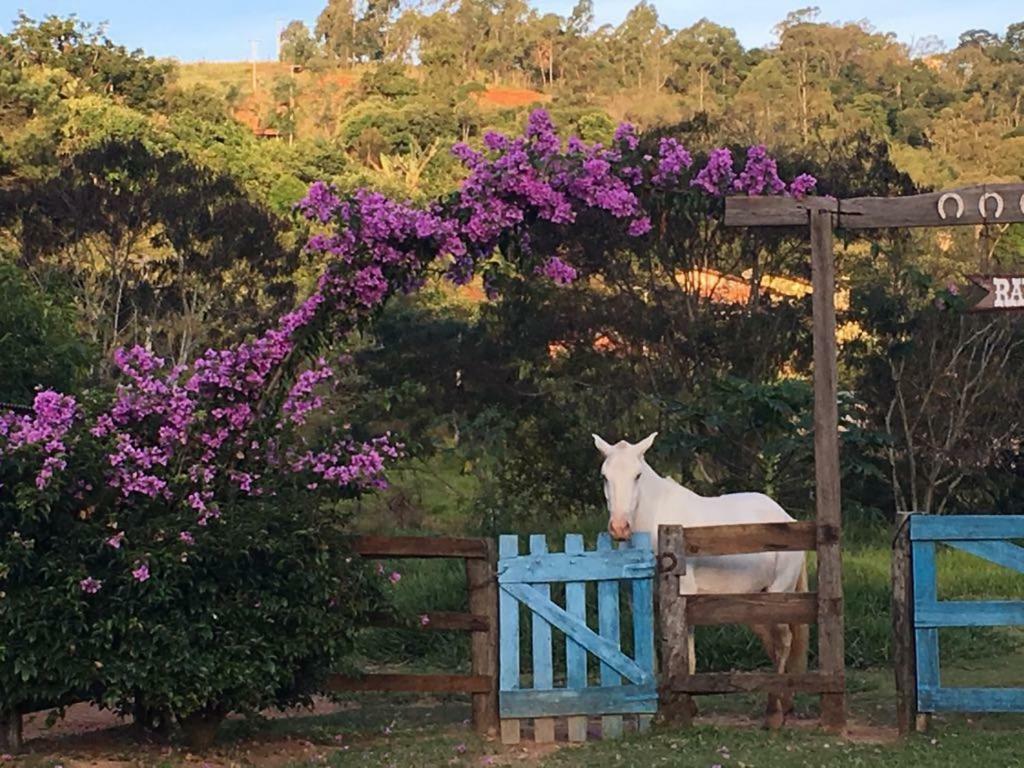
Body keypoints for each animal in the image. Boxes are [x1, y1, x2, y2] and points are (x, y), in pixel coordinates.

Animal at [593, 434, 806, 729]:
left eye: (637, 476)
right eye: (604, 476)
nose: (619, 527)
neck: (656, 524)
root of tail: (788, 519)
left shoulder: (685, 600)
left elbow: (687, 657)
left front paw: (684, 708)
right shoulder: (649, 604)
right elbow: (658, 657)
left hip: (778, 593)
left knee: (783, 640)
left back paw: (774, 712)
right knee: (774, 644)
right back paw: (785, 703)